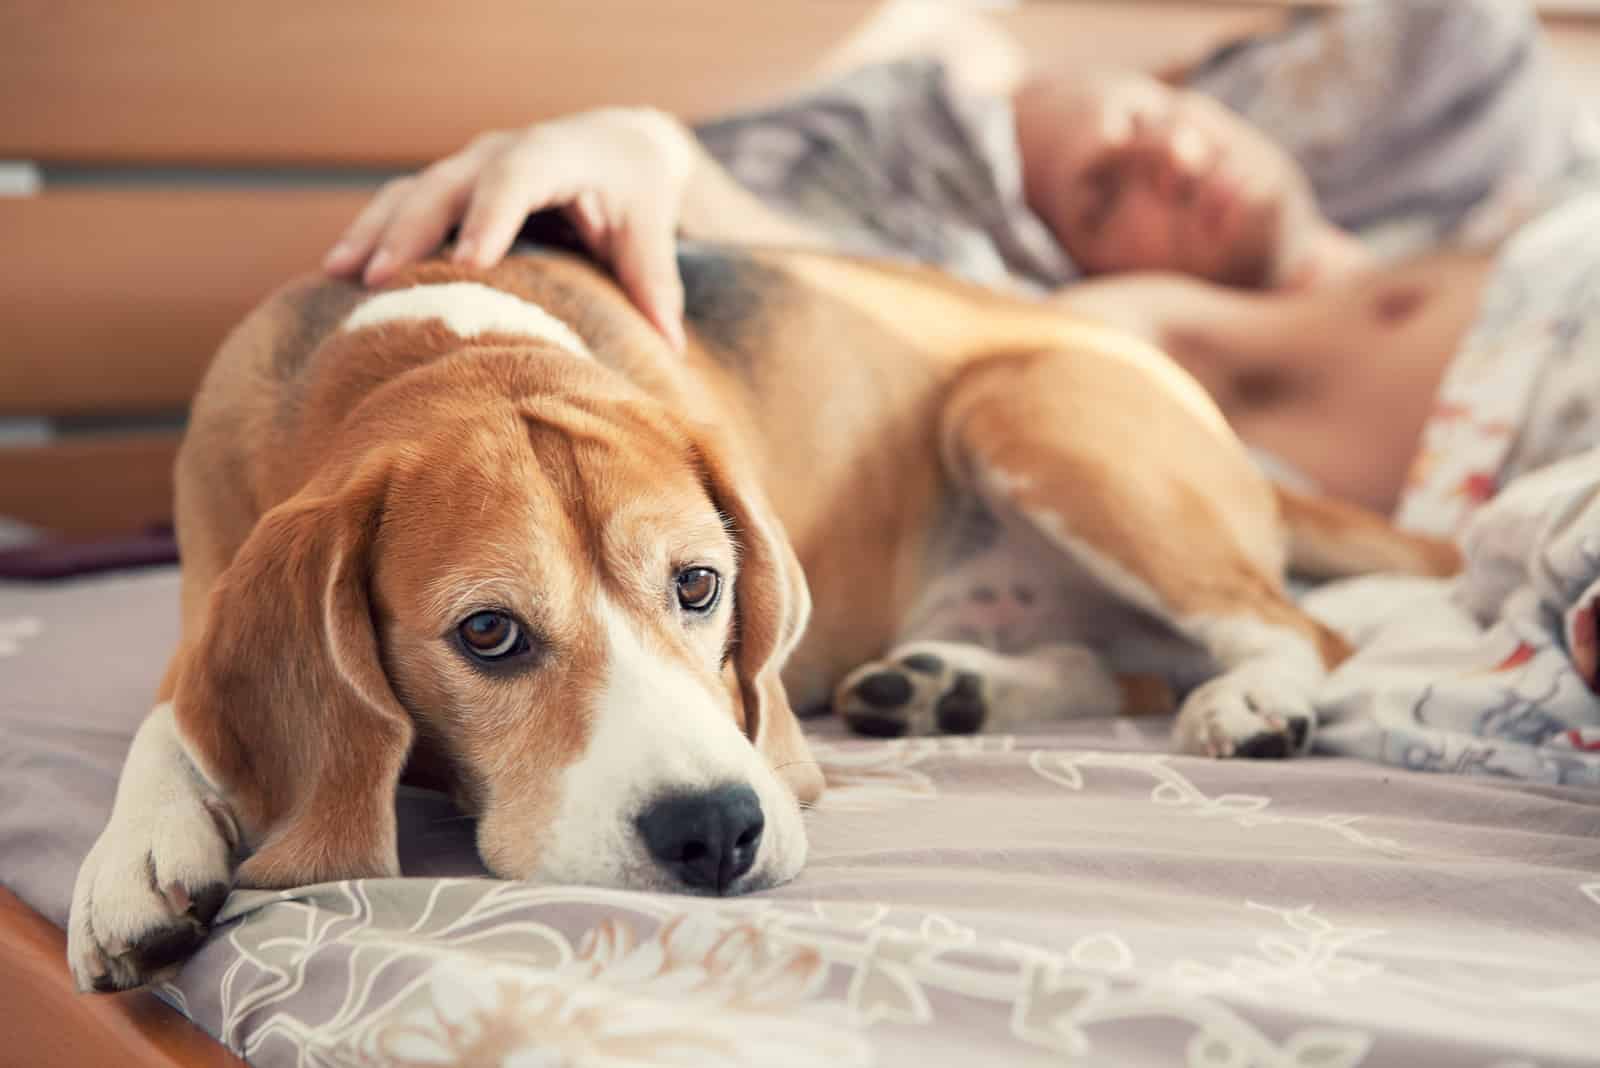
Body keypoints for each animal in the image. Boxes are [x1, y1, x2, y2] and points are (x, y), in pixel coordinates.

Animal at [68, 241, 1459, 991]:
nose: (716, 833)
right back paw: (946, 685)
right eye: (488, 635)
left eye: (700, 585)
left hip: (1022, 408)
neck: (435, 337)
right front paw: (137, 856)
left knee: (1297, 634)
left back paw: (1248, 697)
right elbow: (172, 714)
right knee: (1122, 662)